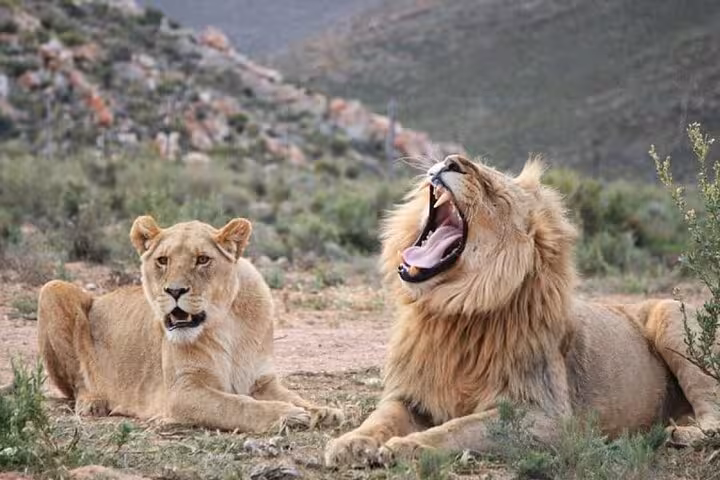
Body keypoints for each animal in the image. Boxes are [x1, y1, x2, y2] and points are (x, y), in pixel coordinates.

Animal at [37, 216, 343, 432]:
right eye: (163, 260)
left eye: (202, 259)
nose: (174, 291)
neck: (224, 321)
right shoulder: (182, 391)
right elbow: (237, 405)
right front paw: (287, 415)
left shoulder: (261, 381)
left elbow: (293, 395)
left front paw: (322, 411)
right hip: (52, 288)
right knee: (76, 385)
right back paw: (93, 402)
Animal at [325, 154, 720, 466]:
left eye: (492, 191)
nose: (450, 161)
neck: (453, 311)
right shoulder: (411, 394)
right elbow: (381, 417)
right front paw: (350, 443)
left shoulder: (546, 416)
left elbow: (458, 429)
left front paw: (407, 447)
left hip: (671, 317)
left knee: (713, 415)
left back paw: (681, 434)